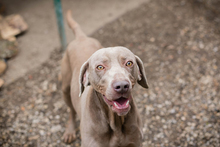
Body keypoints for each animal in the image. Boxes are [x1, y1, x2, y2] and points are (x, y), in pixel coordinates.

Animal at [61, 10, 149, 147]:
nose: (122, 86)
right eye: (100, 67)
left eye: (129, 63)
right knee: (71, 110)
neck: (116, 123)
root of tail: (81, 37)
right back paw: (70, 131)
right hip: (65, 88)